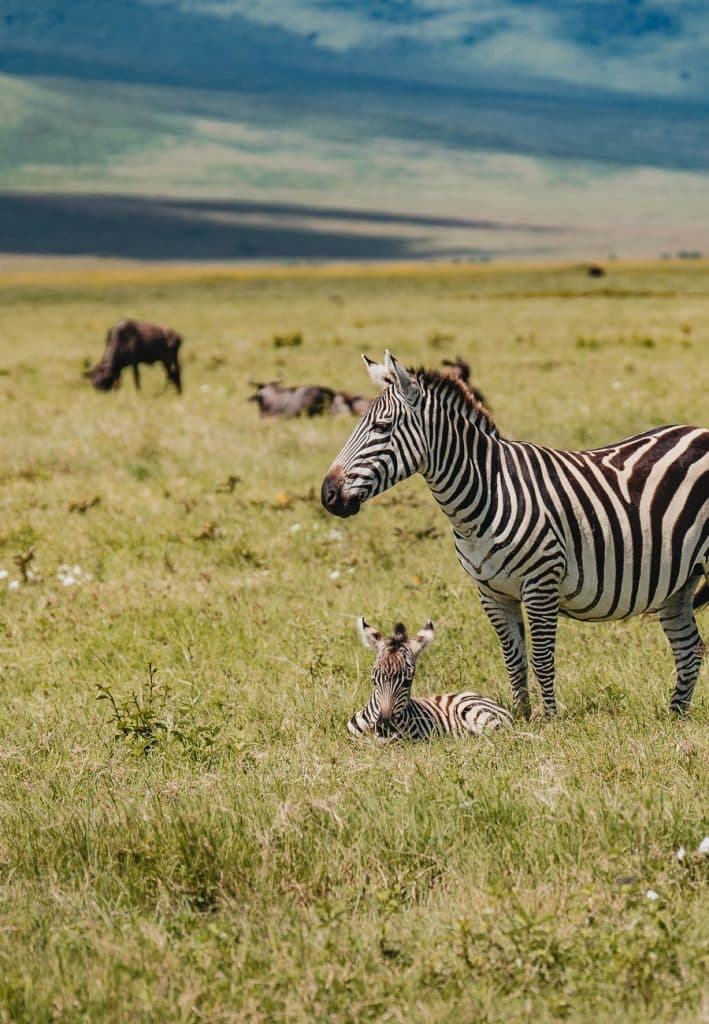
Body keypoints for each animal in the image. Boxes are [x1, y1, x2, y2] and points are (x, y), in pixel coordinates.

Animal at [321, 351, 709, 718]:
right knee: (689, 648)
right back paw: (675, 714)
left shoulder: (541, 584)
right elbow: (513, 658)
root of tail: (699, 431)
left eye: (382, 427)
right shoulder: (492, 593)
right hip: (678, 582)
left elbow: (541, 658)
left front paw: (548, 719)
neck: (485, 495)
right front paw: (519, 717)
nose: (328, 494)